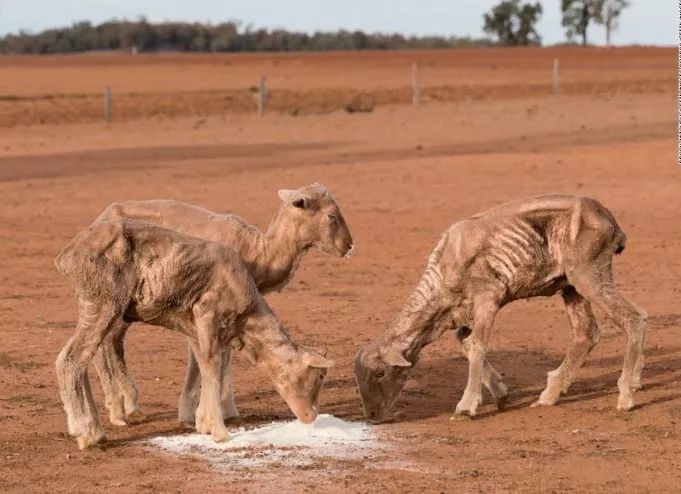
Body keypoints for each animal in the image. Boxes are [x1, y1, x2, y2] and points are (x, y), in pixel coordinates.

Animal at [55, 218, 334, 450]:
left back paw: (96, 429)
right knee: (70, 360)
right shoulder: (206, 313)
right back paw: (87, 432)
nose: (311, 416)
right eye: (317, 376)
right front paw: (220, 432)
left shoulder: (194, 326)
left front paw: (203, 423)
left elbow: (202, 364)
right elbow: (212, 364)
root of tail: (66, 255)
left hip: (96, 305)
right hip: (103, 303)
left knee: (83, 357)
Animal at [91, 184, 354, 424]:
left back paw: (127, 404)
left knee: (112, 343)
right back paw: (119, 410)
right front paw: (212, 410)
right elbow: (211, 357)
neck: (261, 253)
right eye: (331, 215)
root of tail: (100, 218)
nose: (349, 246)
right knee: (103, 344)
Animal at [354, 195, 644, 422]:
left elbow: (478, 345)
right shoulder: (462, 314)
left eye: (380, 372)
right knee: (586, 333)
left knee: (634, 318)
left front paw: (466, 407)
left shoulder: (488, 297)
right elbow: (466, 343)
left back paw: (626, 394)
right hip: (570, 285)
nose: (372, 417)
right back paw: (549, 396)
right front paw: (501, 394)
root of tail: (611, 222)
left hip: (588, 273)